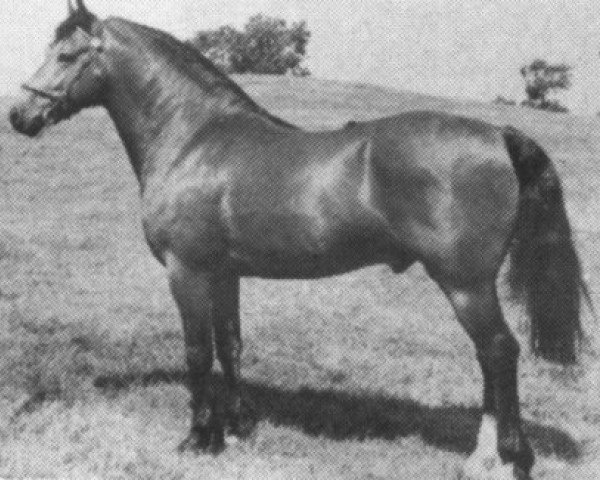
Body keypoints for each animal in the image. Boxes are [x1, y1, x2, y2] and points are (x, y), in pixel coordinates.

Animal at [8, 1, 592, 478]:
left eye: (66, 55)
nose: (19, 115)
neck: (195, 139)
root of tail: (498, 135)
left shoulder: (187, 270)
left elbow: (198, 352)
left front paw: (197, 439)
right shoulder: (224, 272)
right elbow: (230, 345)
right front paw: (236, 427)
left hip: (465, 283)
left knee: (498, 351)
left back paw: (508, 459)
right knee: (490, 357)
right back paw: (483, 457)